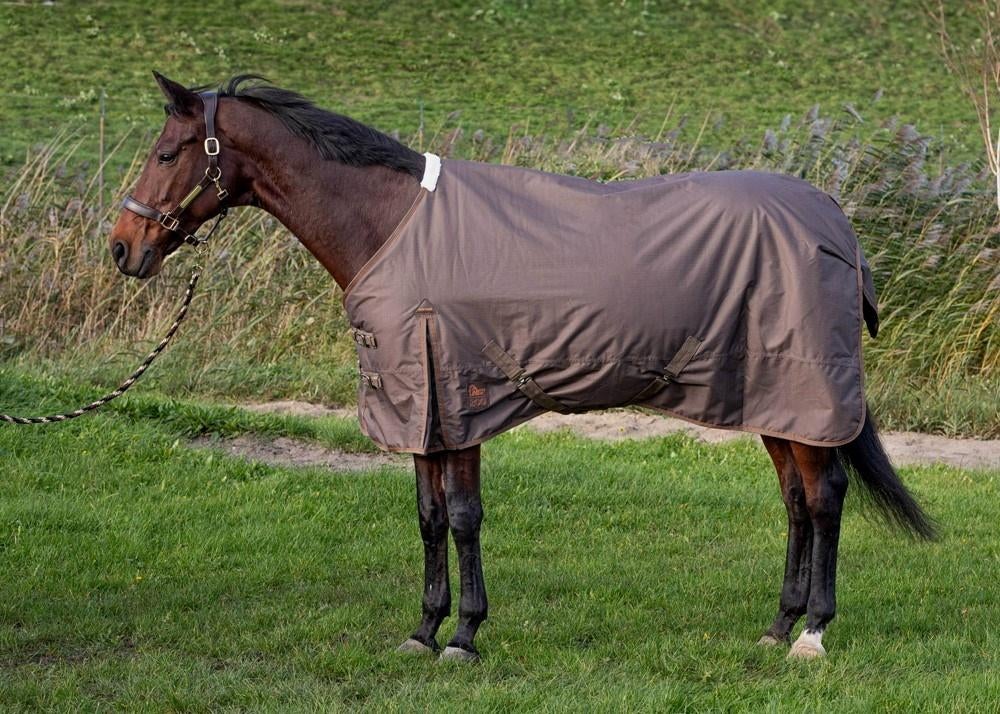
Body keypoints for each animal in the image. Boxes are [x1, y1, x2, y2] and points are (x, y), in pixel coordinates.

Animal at [109, 72, 935, 662]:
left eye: (165, 153)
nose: (123, 247)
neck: (392, 227)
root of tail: (835, 223)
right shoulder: (421, 410)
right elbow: (428, 517)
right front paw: (423, 630)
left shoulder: (458, 397)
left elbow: (464, 517)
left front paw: (465, 638)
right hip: (771, 399)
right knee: (796, 501)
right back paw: (777, 626)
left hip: (806, 392)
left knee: (824, 499)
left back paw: (813, 634)